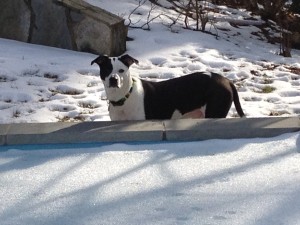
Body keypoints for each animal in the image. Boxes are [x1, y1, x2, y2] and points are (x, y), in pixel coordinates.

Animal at [91, 54, 244, 120]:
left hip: (215, 112)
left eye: (121, 70)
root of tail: (226, 80)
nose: (114, 79)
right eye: (106, 70)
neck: (124, 97)